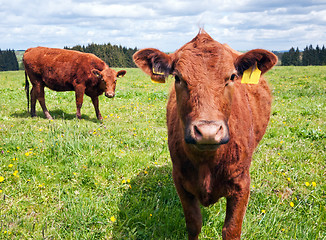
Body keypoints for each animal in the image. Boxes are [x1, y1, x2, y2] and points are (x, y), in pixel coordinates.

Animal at [134, 30, 276, 240]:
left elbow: (232, 230)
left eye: (232, 76)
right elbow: (194, 224)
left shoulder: (242, 184)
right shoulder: (180, 181)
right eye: (178, 78)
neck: (207, 162)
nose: (208, 132)